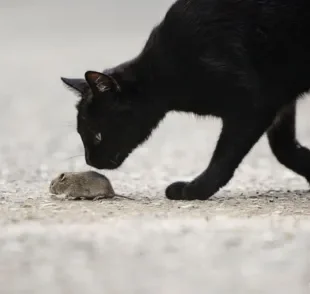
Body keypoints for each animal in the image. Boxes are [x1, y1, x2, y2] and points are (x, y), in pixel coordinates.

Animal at [61, 0, 310, 200]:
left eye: (97, 134)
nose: (89, 161)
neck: (161, 75)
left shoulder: (254, 105)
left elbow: (224, 157)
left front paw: (194, 190)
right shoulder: (280, 99)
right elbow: (283, 147)